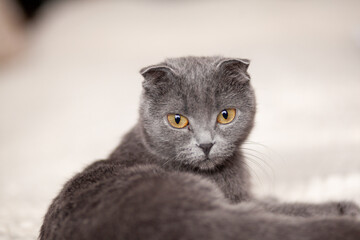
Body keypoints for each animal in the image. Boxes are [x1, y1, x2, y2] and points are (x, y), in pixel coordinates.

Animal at [39, 55, 360, 238]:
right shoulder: (241, 200)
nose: (206, 144)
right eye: (177, 120)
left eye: (225, 115)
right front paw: (344, 207)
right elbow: (287, 206)